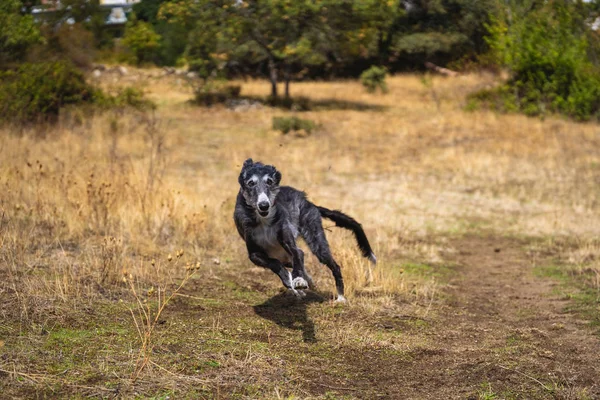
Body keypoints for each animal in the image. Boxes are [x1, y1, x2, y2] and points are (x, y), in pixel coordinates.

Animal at [233, 158, 376, 302]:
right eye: (251, 183)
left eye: (269, 181)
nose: (264, 205)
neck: (264, 221)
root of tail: (310, 203)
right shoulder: (254, 254)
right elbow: (275, 264)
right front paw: (292, 283)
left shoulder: (289, 243)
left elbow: (298, 255)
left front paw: (298, 280)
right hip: (286, 255)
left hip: (317, 243)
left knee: (334, 266)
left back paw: (340, 297)